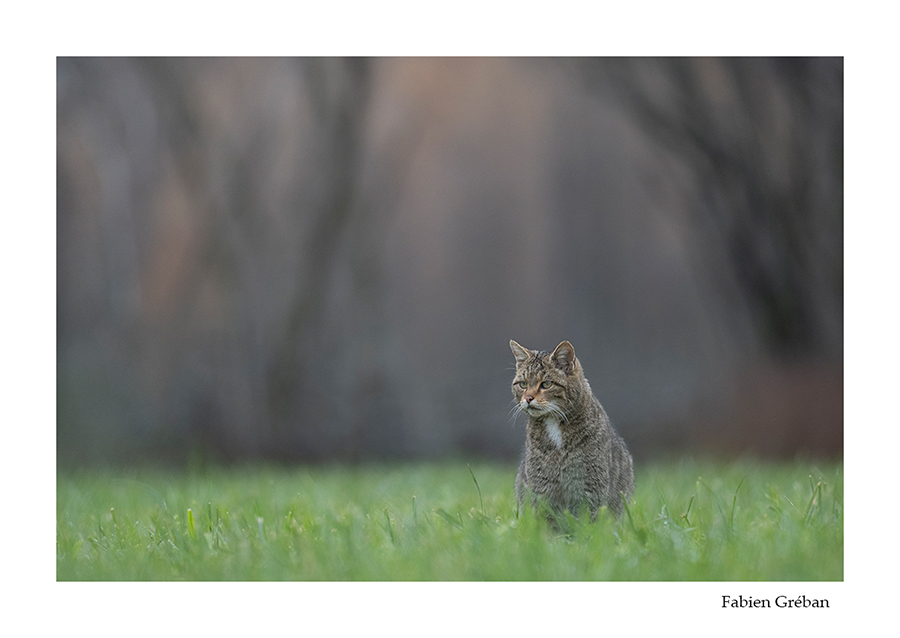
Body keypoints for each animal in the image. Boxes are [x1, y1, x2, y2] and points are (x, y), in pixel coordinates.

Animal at [510, 342, 636, 524]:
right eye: (523, 384)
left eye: (546, 384)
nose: (527, 398)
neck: (554, 424)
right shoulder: (541, 487)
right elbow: (547, 523)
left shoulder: (591, 487)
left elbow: (589, 523)